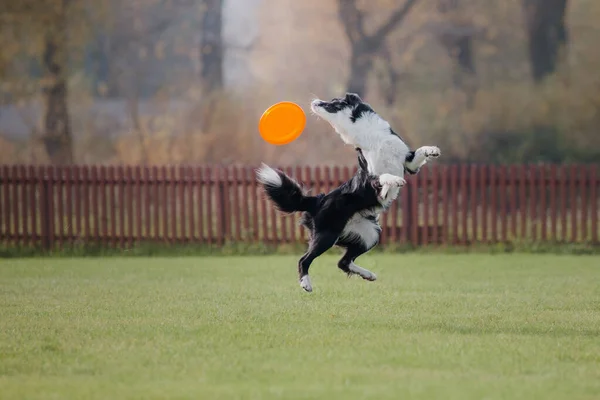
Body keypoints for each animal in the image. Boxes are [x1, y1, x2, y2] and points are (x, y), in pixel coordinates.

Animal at [255, 148, 406, 292]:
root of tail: (316, 201)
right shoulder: (370, 180)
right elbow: (382, 177)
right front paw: (396, 179)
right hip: (327, 236)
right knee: (304, 260)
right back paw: (306, 284)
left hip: (369, 235)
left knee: (343, 262)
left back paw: (368, 274)